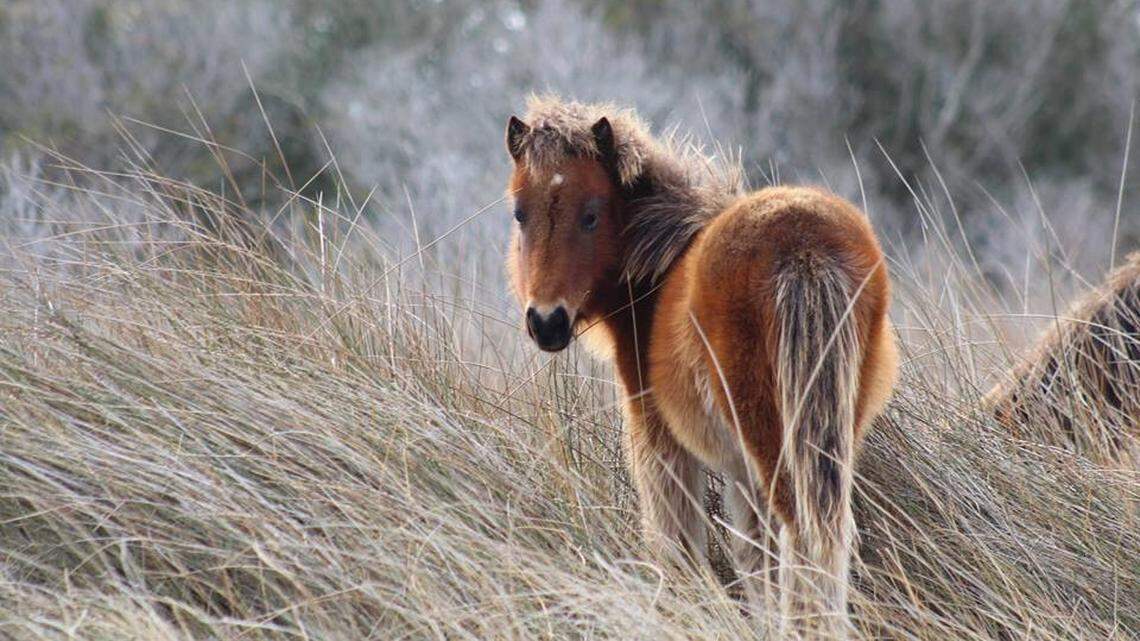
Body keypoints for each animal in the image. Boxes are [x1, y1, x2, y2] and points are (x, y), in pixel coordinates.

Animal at [503, 96, 898, 637]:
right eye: (520, 214)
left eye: (591, 216)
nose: (547, 322)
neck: (660, 262)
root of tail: (804, 247)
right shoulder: (741, 473)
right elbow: (753, 558)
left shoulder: (658, 438)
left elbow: (679, 542)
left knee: (804, 538)